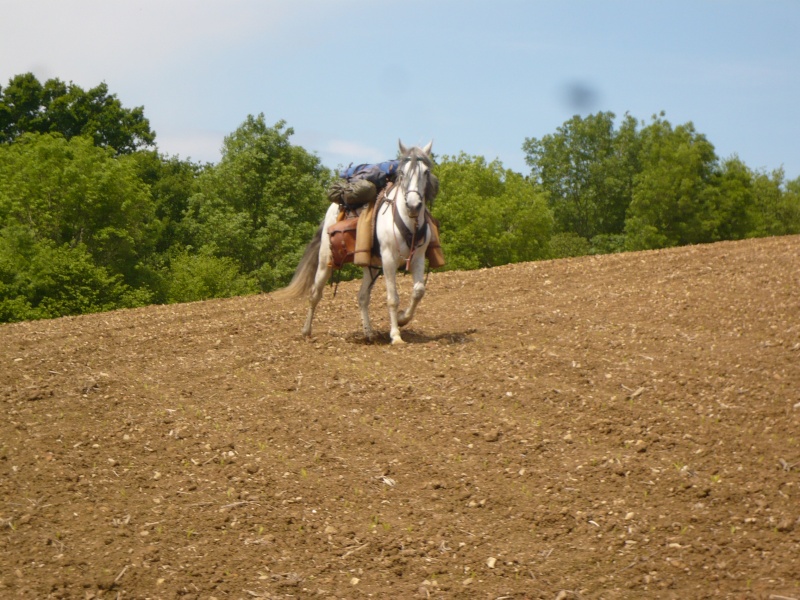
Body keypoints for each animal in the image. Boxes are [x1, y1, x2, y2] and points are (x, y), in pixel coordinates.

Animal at [276, 141, 438, 344]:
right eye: (402, 172)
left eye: (425, 171)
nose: (413, 205)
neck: (409, 223)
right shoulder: (389, 260)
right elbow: (393, 298)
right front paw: (396, 335)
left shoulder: (417, 259)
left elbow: (418, 291)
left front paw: (402, 319)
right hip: (325, 261)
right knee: (315, 294)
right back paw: (306, 331)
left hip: (371, 266)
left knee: (362, 297)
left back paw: (369, 333)